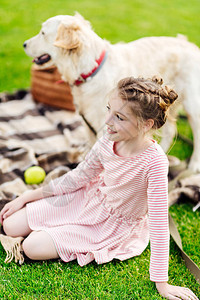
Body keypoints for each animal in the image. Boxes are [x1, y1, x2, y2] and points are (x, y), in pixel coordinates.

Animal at [23, 12, 200, 172]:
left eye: (43, 33)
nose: (24, 44)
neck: (90, 71)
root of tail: (190, 45)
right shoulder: (88, 123)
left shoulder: (106, 125)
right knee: (170, 131)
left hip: (192, 107)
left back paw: (193, 166)